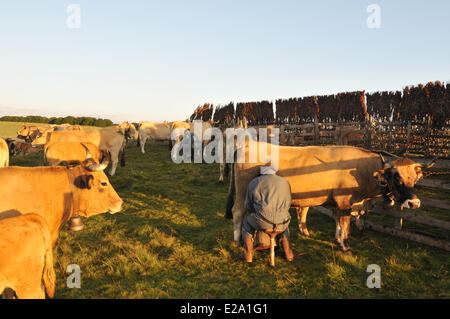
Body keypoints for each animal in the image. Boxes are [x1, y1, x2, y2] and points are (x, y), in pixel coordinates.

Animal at [225, 141, 436, 254]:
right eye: (397, 178)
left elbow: (337, 222)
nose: (414, 203)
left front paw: (337, 239)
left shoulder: (338, 203)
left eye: (415, 179)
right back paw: (237, 240)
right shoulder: (345, 203)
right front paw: (346, 246)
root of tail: (248, 144)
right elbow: (345, 224)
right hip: (242, 192)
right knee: (237, 212)